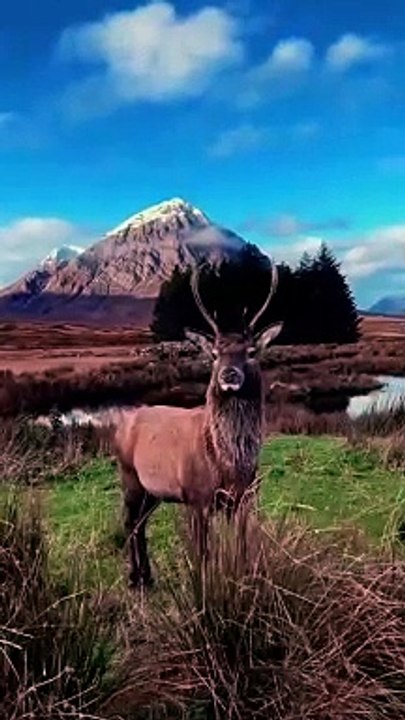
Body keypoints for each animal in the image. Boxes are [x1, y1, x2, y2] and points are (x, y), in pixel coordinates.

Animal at [114, 262, 283, 588]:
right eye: (214, 353)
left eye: (251, 352)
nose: (229, 375)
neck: (228, 466)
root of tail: (120, 425)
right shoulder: (196, 497)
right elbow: (203, 554)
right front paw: (204, 590)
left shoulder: (243, 499)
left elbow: (241, 548)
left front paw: (241, 581)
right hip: (129, 475)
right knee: (129, 521)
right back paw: (133, 577)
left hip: (154, 490)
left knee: (141, 523)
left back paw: (147, 576)